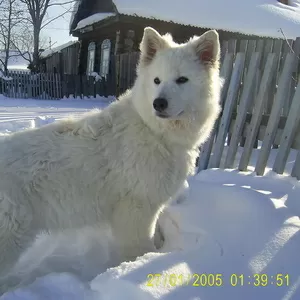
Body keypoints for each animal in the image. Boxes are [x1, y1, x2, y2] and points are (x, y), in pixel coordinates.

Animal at [0, 27, 220, 276]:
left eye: (182, 80)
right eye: (157, 80)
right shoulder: (137, 209)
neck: (154, 131)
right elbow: (140, 247)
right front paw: (142, 263)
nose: (158, 103)